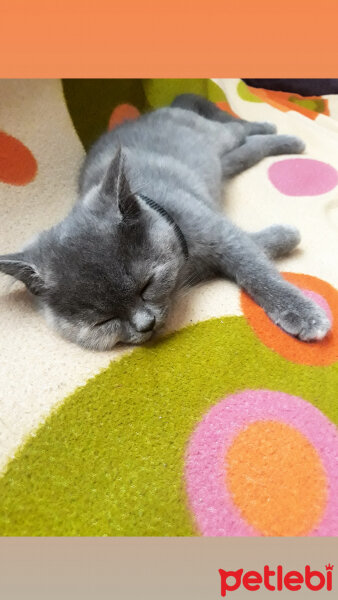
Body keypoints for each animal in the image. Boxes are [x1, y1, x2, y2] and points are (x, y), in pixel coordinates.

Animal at [0, 94, 332, 352]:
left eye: (146, 284)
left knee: (237, 129)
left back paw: (280, 133)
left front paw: (303, 313)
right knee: (244, 151)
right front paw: (285, 236)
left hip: (213, 135)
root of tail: (153, 112)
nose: (145, 324)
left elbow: (255, 268)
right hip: (217, 161)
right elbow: (252, 244)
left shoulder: (219, 232)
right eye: (103, 321)